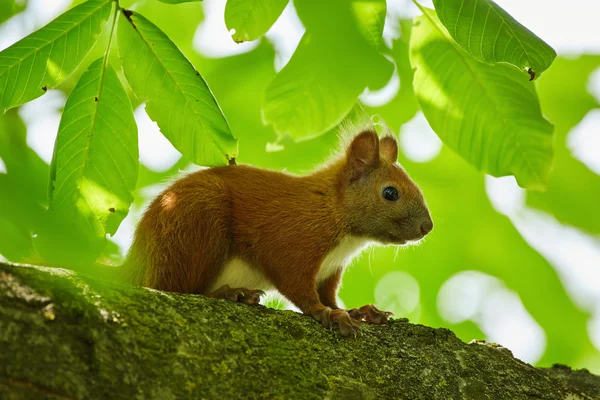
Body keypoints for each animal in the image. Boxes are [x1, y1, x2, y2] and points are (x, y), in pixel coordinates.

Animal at [123, 125, 432, 334]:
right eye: (390, 193)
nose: (427, 227)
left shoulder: (329, 271)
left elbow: (329, 296)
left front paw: (358, 311)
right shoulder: (292, 244)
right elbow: (298, 287)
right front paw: (327, 314)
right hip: (197, 222)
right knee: (180, 288)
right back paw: (229, 294)